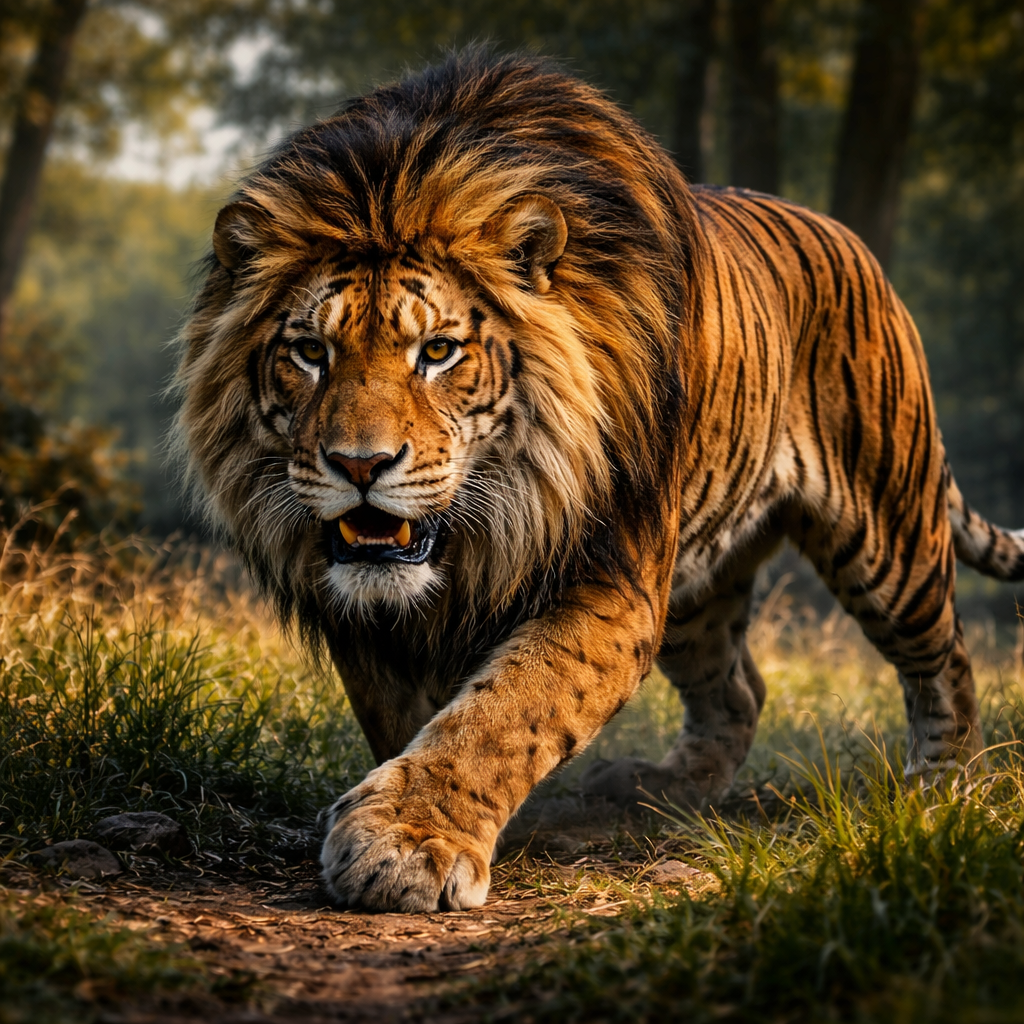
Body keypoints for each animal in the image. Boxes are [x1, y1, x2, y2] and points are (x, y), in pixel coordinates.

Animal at [174, 49, 1024, 912]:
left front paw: (408, 840)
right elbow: (412, 715)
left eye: (438, 351)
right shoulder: (370, 617)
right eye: (310, 352)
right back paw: (662, 792)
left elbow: (506, 711)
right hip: (696, 592)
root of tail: (851, 241)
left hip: (889, 533)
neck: (484, 535)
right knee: (738, 691)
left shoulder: (612, 579)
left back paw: (942, 795)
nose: (359, 465)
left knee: (946, 660)